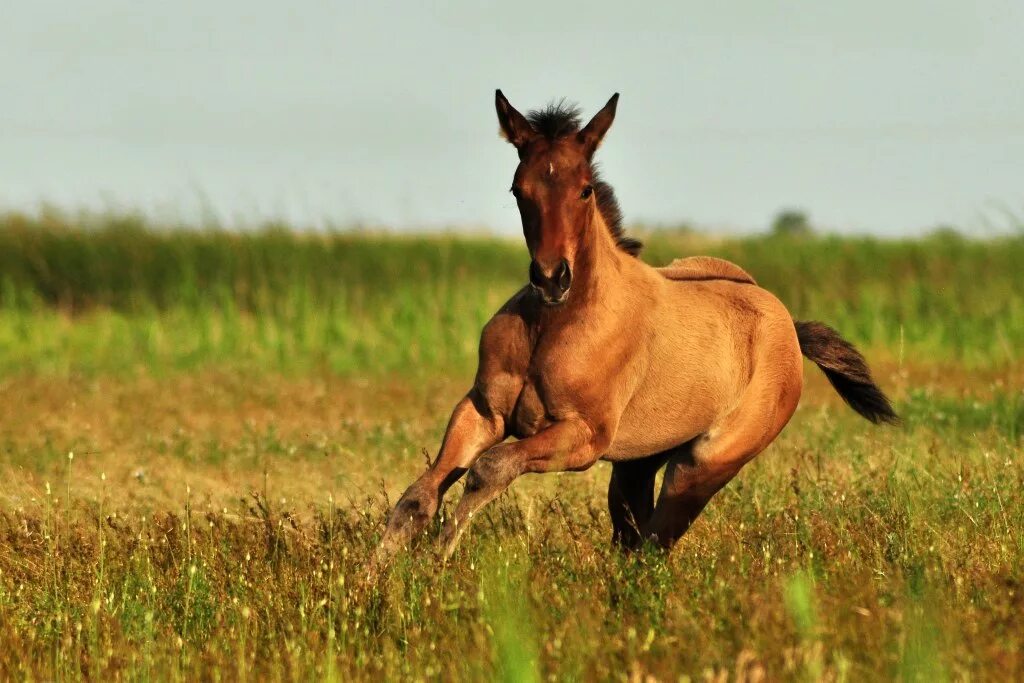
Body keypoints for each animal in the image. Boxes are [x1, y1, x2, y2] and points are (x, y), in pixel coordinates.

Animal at [376, 90, 897, 561]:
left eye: (585, 188)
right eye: (518, 190)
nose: (551, 278)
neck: (552, 325)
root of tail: (788, 325)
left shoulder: (584, 437)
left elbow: (490, 468)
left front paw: (438, 561)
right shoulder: (482, 411)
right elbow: (417, 497)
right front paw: (376, 574)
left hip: (700, 467)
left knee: (653, 546)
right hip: (638, 463)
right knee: (633, 540)